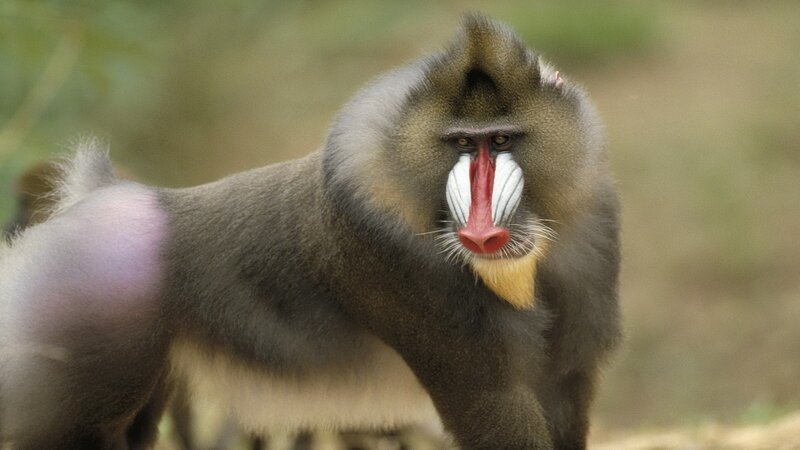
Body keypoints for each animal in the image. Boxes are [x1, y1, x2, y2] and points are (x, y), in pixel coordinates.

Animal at [0, 15, 620, 450]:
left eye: (503, 140)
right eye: (463, 144)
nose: (482, 234)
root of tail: (101, 199)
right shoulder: (419, 294)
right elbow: (494, 409)